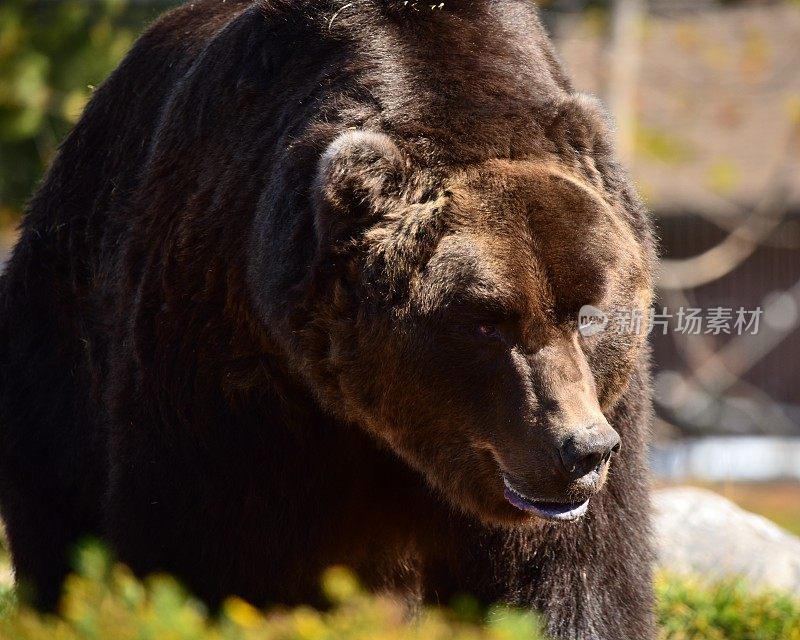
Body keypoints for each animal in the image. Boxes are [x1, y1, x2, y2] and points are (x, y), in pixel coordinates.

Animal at [0, 0, 656, 636]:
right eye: (486, 321)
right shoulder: (232, 370)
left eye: (589, 315)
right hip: (59, 349)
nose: (581, 449)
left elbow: (574, 580)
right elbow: (207, 548)